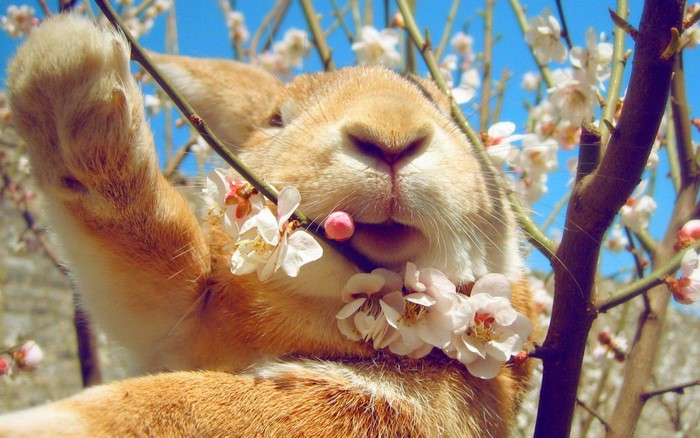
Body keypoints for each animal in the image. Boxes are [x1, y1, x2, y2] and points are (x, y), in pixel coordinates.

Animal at [0, 13, 535, 437]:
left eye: (452, 116)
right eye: (277, 119)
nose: (391, 134)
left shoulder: (396, 407)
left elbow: (181, 407)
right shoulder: (178, 322)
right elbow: (153, 258)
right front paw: (66, 67)